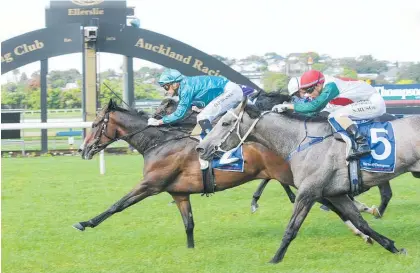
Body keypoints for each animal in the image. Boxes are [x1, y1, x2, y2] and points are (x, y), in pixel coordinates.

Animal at [75, 99, 378, 250]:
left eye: (95, 124)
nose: (83, 149)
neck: (160, 143)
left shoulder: (151, 184)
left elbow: (117, 205)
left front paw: (85, 223)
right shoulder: (179, 193)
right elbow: (189, 224)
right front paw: (191, 250)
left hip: (297, 179)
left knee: (328, 201)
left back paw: (364, 223)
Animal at [198, 96, 420, 262]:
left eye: (225, 123)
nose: (201, 148)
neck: (301, 141)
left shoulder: (308, 192)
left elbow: (291, 228)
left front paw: (275, 260)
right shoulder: (336, 193)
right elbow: (360, 222)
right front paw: (393, 247)